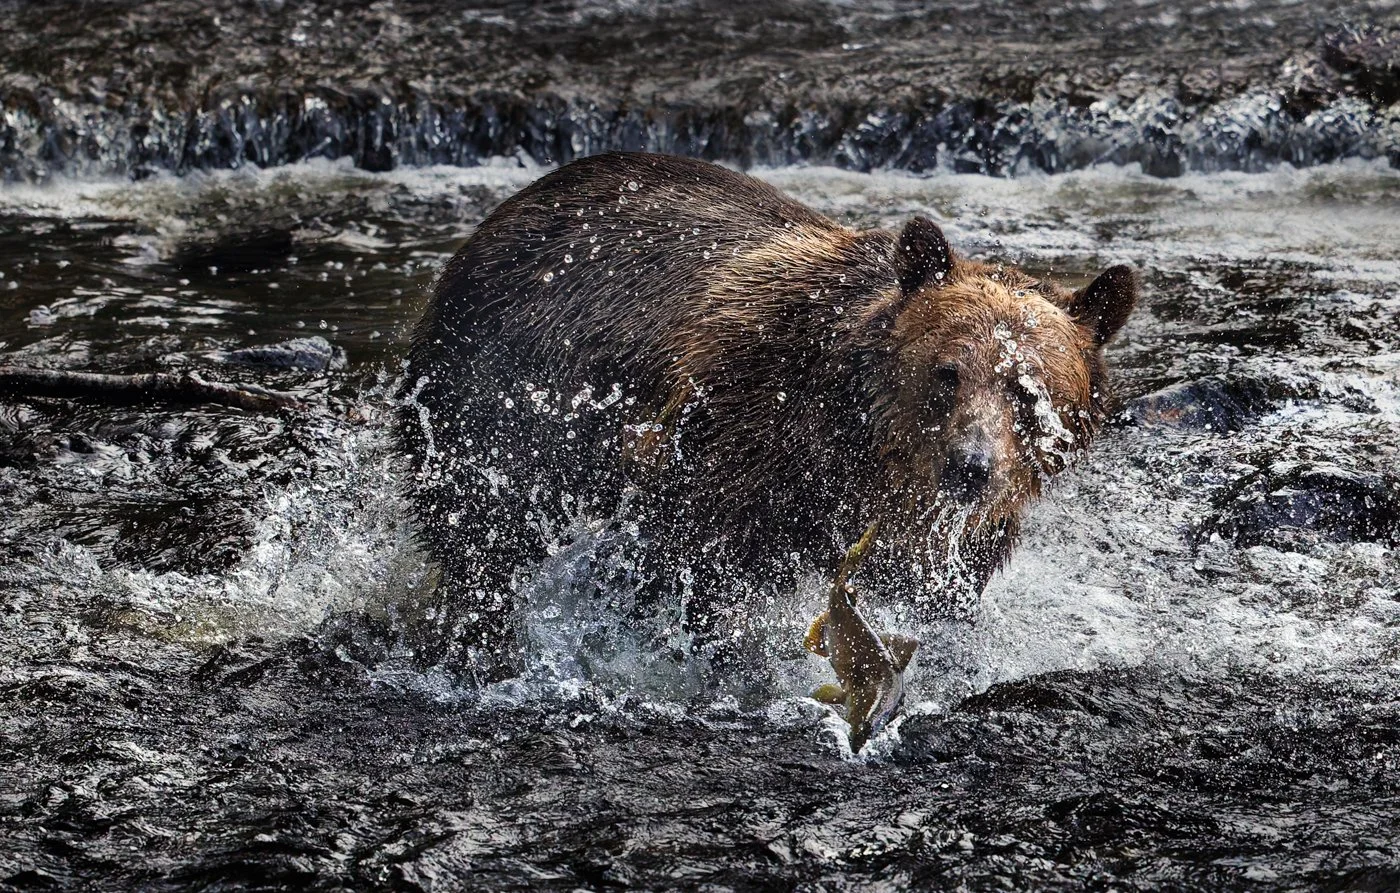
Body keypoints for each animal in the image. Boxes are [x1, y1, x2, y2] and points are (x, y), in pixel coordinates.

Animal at [397, 152, 1136, 681]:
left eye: (1028, 391)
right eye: (947, 372)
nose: (971, 467)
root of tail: (501, 216)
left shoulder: (956, 545)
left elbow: (932, 603)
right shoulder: (738, 440)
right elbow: (700, 573)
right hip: (501, 395)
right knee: (485, 536)